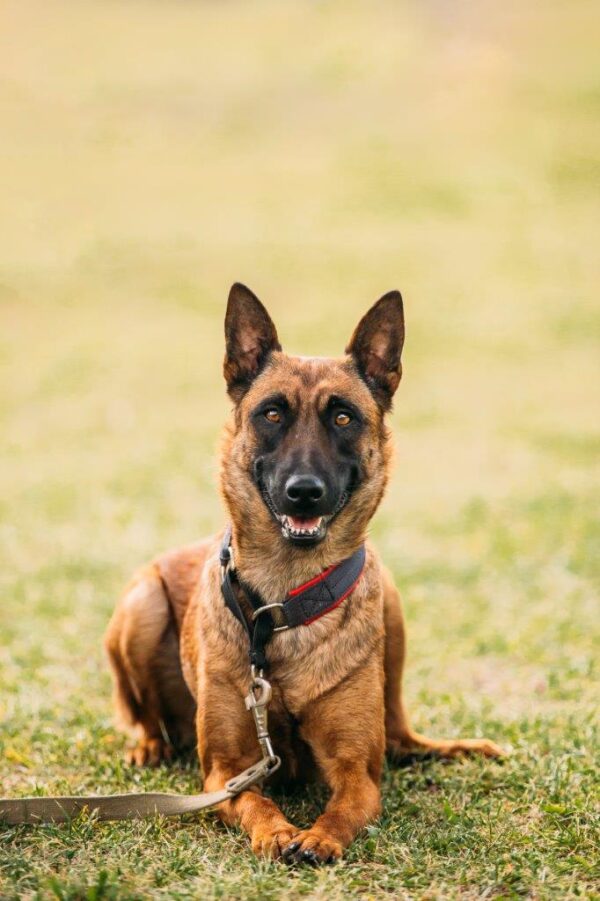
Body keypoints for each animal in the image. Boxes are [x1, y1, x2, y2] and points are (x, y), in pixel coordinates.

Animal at [105, 284, 504, 860]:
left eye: (343, 418)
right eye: (272, 414)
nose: (304, 491)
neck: (284, 599)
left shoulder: (356, 772)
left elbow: (344, 806)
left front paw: (318, 837)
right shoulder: (226, 772)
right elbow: (257, 802)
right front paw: (277, 832)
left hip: (392, 604)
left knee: (402, 736)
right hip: (143, 603)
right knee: (145, 716)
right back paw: (150, 745)